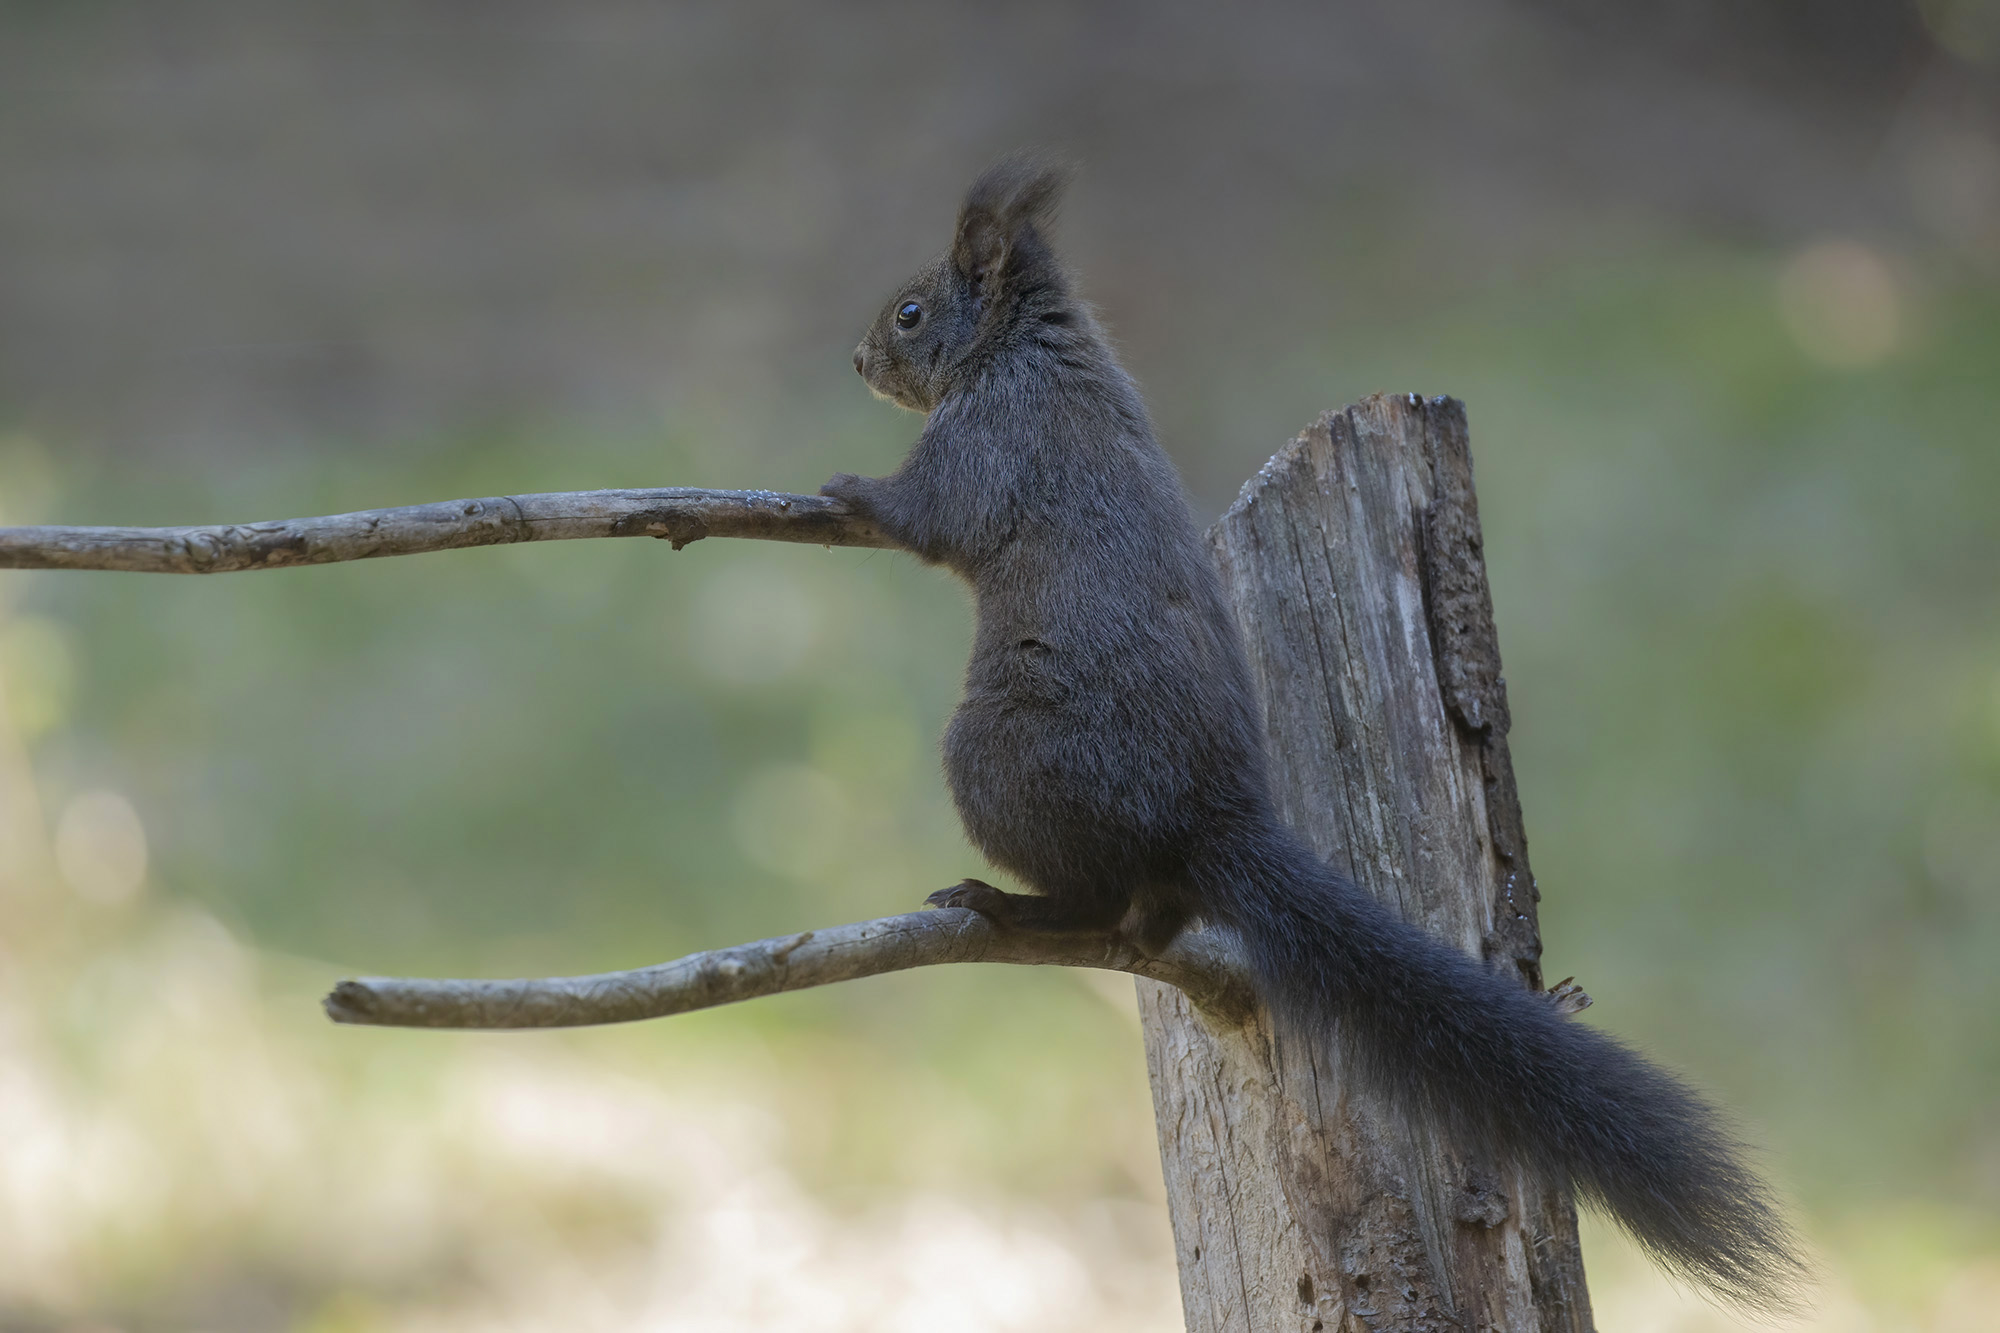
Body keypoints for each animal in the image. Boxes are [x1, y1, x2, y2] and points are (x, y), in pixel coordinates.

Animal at [821, 158, 1806, 1312]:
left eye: (910, 312)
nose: (857, 359)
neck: (1030, 348)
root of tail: (1213, 821)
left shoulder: (987, 441)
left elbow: (926, 517)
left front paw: (850, 491)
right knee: (1147, 916)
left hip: (994, 757)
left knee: (1097, 902)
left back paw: (1006, 906)